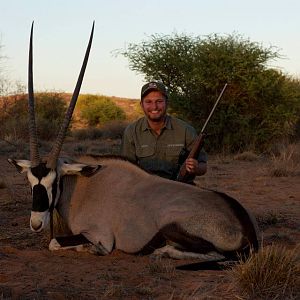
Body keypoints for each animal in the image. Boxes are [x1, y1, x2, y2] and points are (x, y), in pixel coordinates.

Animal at [8, 23, 258, 262]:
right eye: (30, 182)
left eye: (54, 182)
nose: (36, 223)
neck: (82, 185)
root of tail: (244, 225)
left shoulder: (101, 236)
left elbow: (55, 243)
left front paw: (88, 249)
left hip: (173, 226)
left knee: (217, 254)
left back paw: (161, 252)